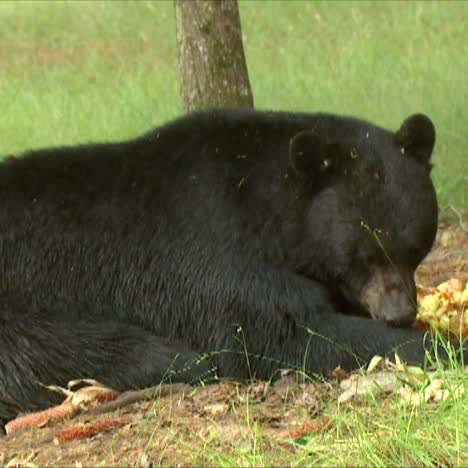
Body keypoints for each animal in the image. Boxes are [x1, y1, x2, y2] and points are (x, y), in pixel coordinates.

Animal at [0, 108, 446, 426]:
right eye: (363, 254)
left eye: (414, 247)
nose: (399, 313)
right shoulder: (216, 246)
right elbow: (277, 332)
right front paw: (438, 345)